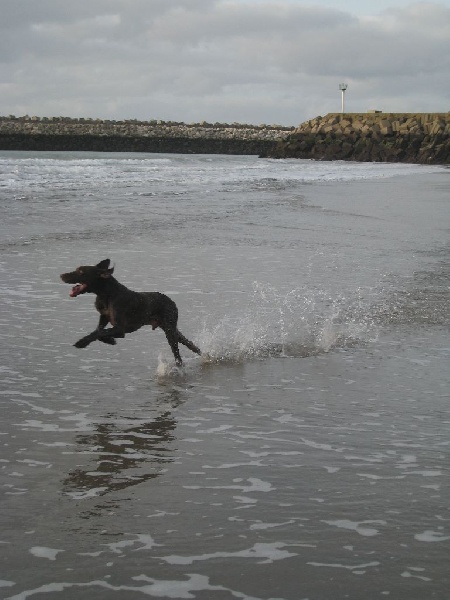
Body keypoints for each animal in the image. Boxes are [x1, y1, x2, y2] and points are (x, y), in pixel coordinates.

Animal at [60, 258, 201, 366]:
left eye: (81, 271)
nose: (61, 275)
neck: (106, 294)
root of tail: (172, 302)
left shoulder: (121, 328)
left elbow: (99, 332)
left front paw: (82, 342)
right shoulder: (104, 317)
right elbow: (98, 331)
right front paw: (109, 340)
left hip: (169, 331)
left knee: (178, 355)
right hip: (170, 328)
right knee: (189, 344)